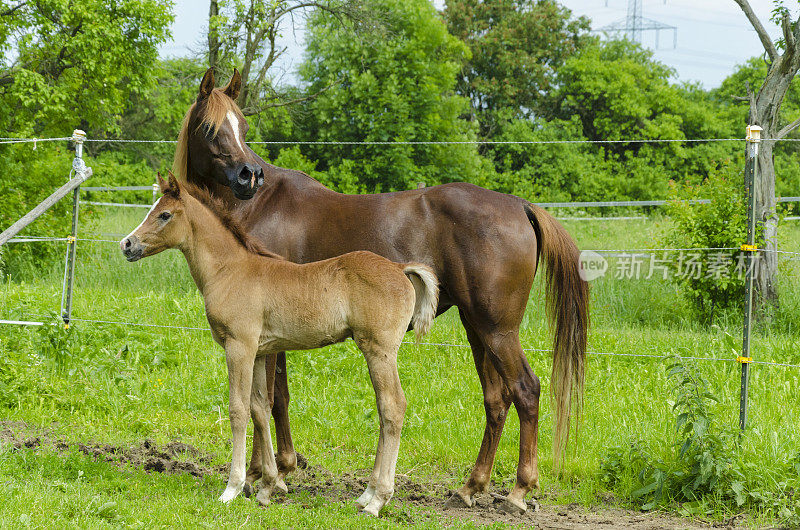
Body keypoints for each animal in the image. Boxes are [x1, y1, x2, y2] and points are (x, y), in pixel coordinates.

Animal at [120, 174, 438, 516]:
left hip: (379, 349)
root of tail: (400, 268)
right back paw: (365, 494)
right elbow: (260, 409)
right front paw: (266, 487)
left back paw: (377, 501)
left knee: (393, 407)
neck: (229, 270)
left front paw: (233, 488)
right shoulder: (261, 352)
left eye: (164, 214)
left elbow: (238, 410)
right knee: (383, 409)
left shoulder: (239, 347)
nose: (127, 244)